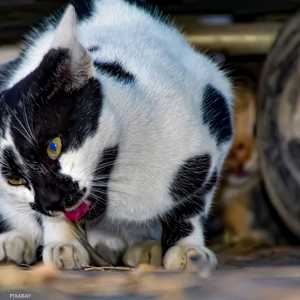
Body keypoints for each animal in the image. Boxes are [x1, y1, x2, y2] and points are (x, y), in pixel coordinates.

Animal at [0, 0, 233, 270]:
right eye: (15, 179)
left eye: (53, 147)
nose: (51, 201)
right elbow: (47, 220)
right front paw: (64, 244)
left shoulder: (216, 108)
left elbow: (193, 203)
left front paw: (188, 249)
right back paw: (16, 242)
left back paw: (143, 247)